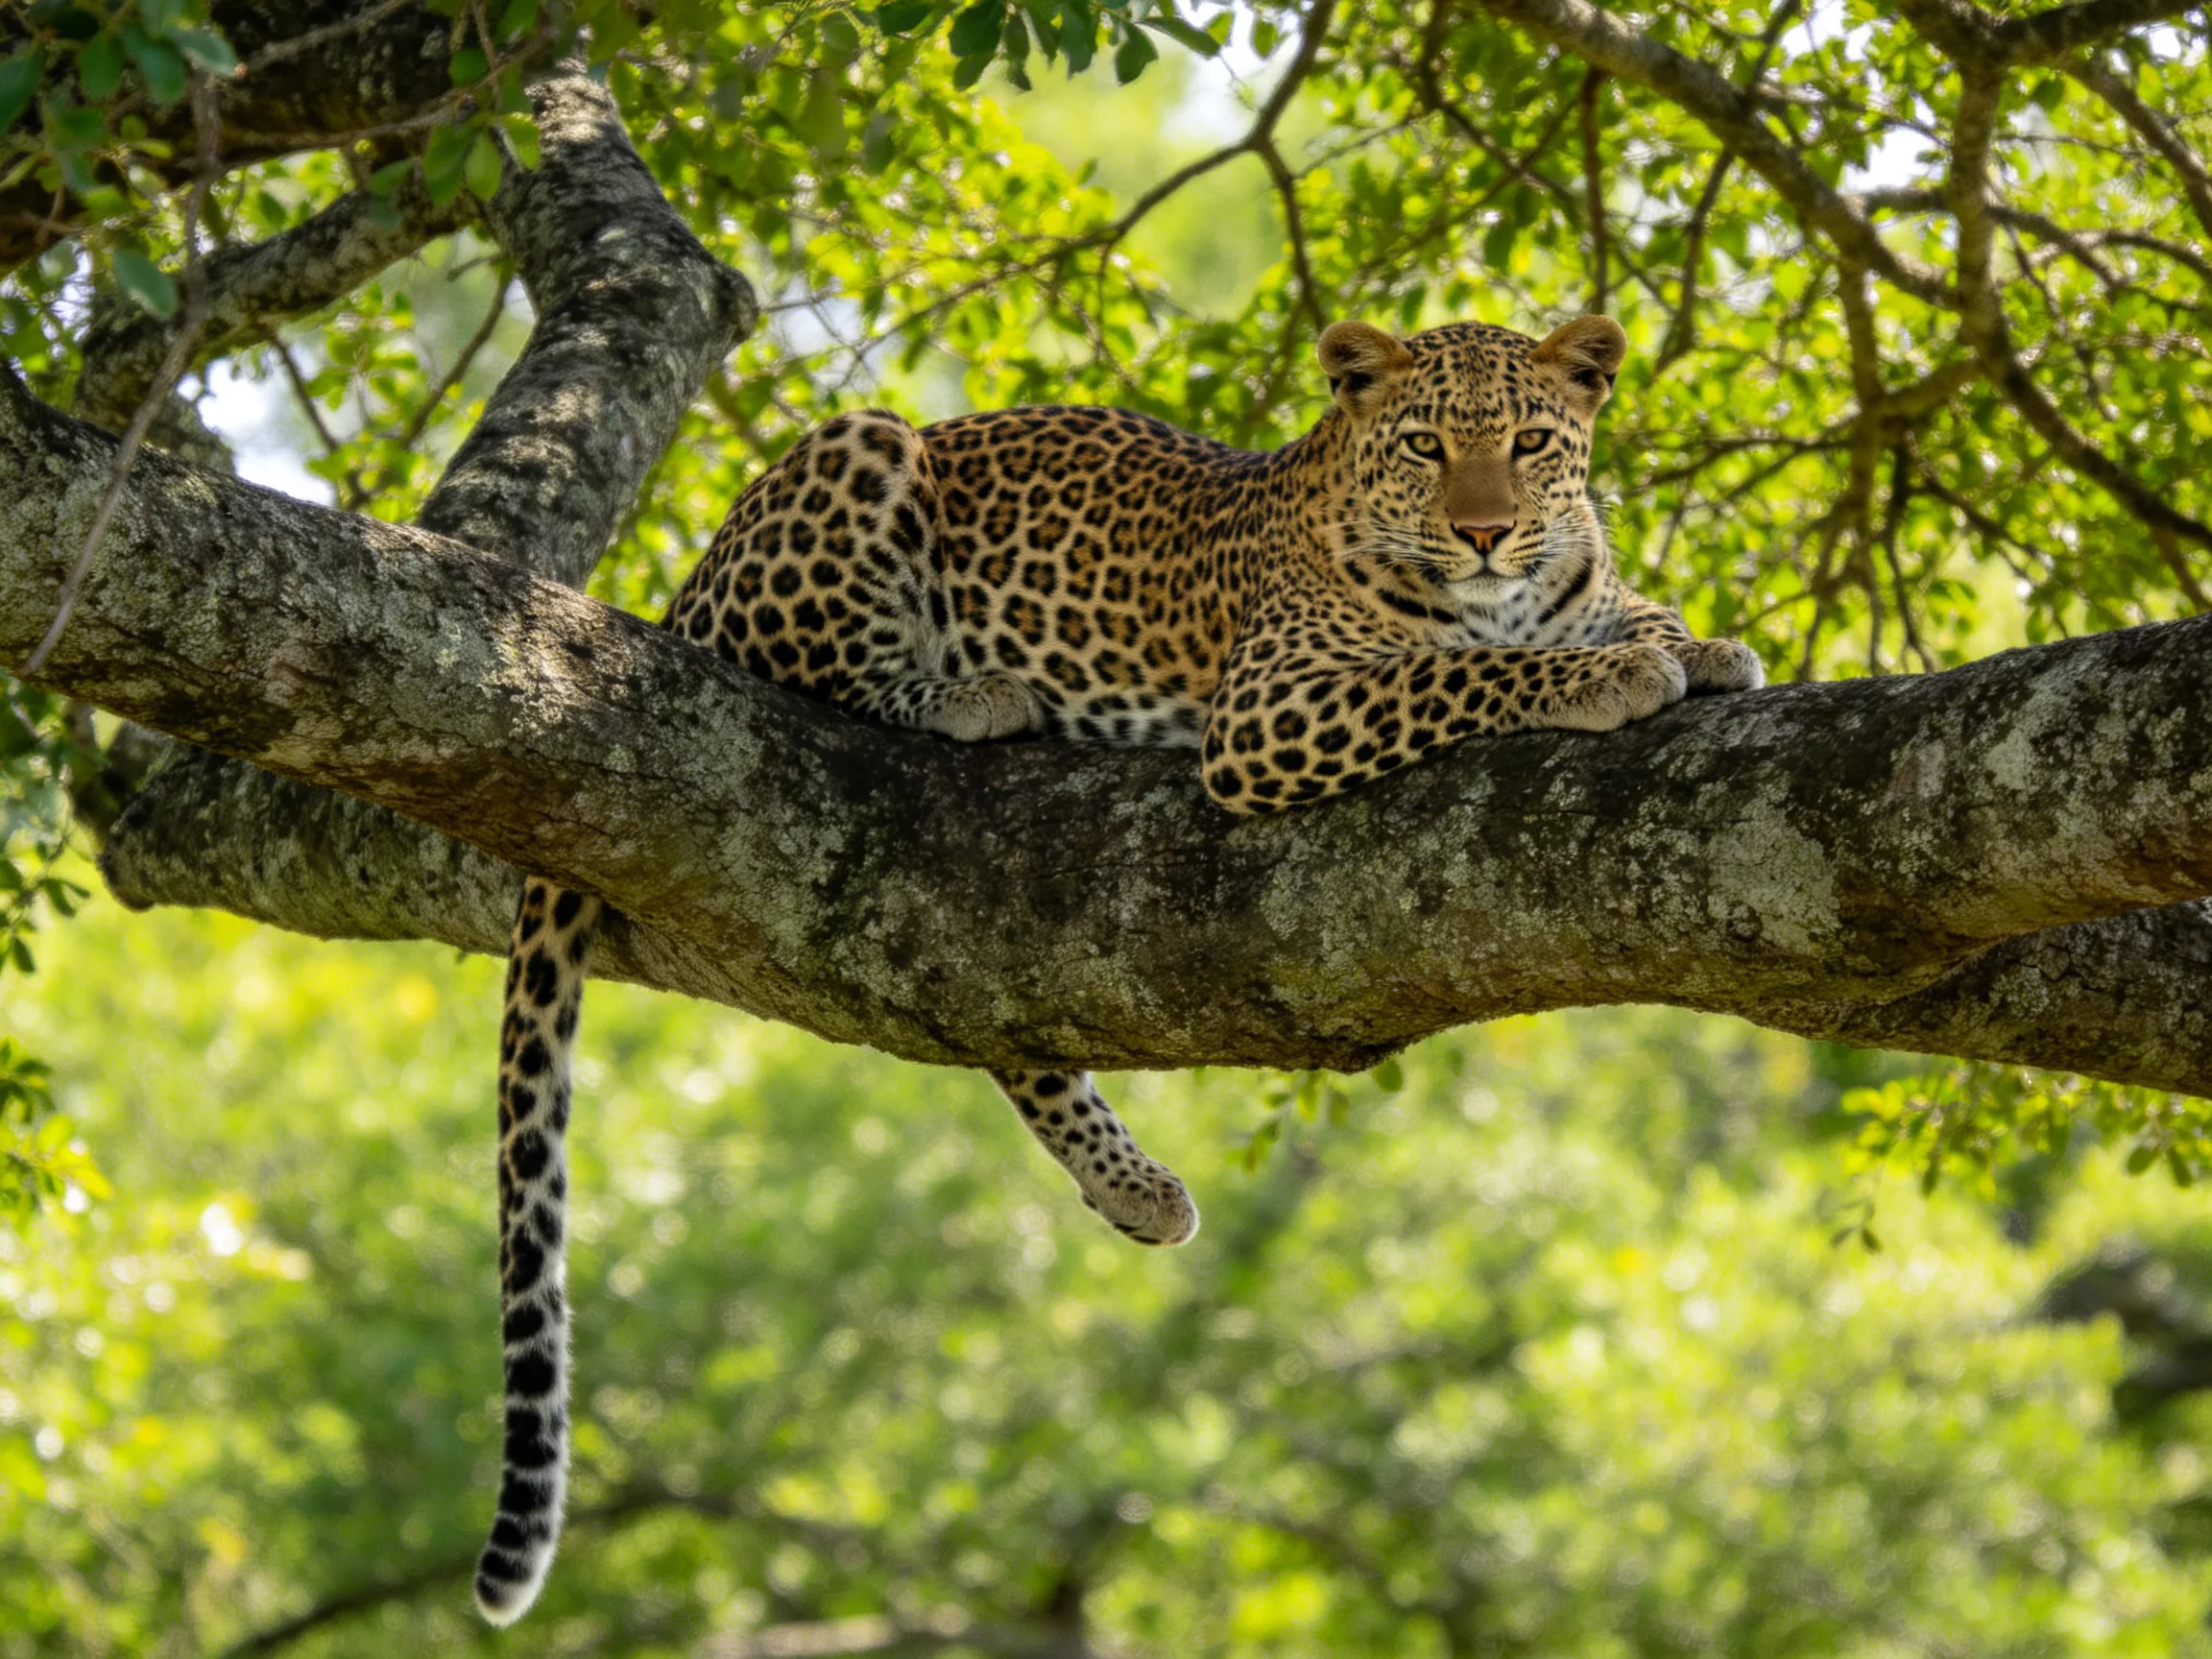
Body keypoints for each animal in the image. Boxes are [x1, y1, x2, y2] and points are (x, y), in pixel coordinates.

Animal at [472, 313, 1766, 1623]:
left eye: (1532, 444)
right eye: (1424, 446)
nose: (1487, 532)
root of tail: (681, 587)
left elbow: (1632, 613)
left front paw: (1696, 644)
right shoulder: (1268, 710)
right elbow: (1454, 673)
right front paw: (1604, 676)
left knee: (976, 1005)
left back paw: (1135, 1187)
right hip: (861, 451)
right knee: (822, 676)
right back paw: (974, 691)